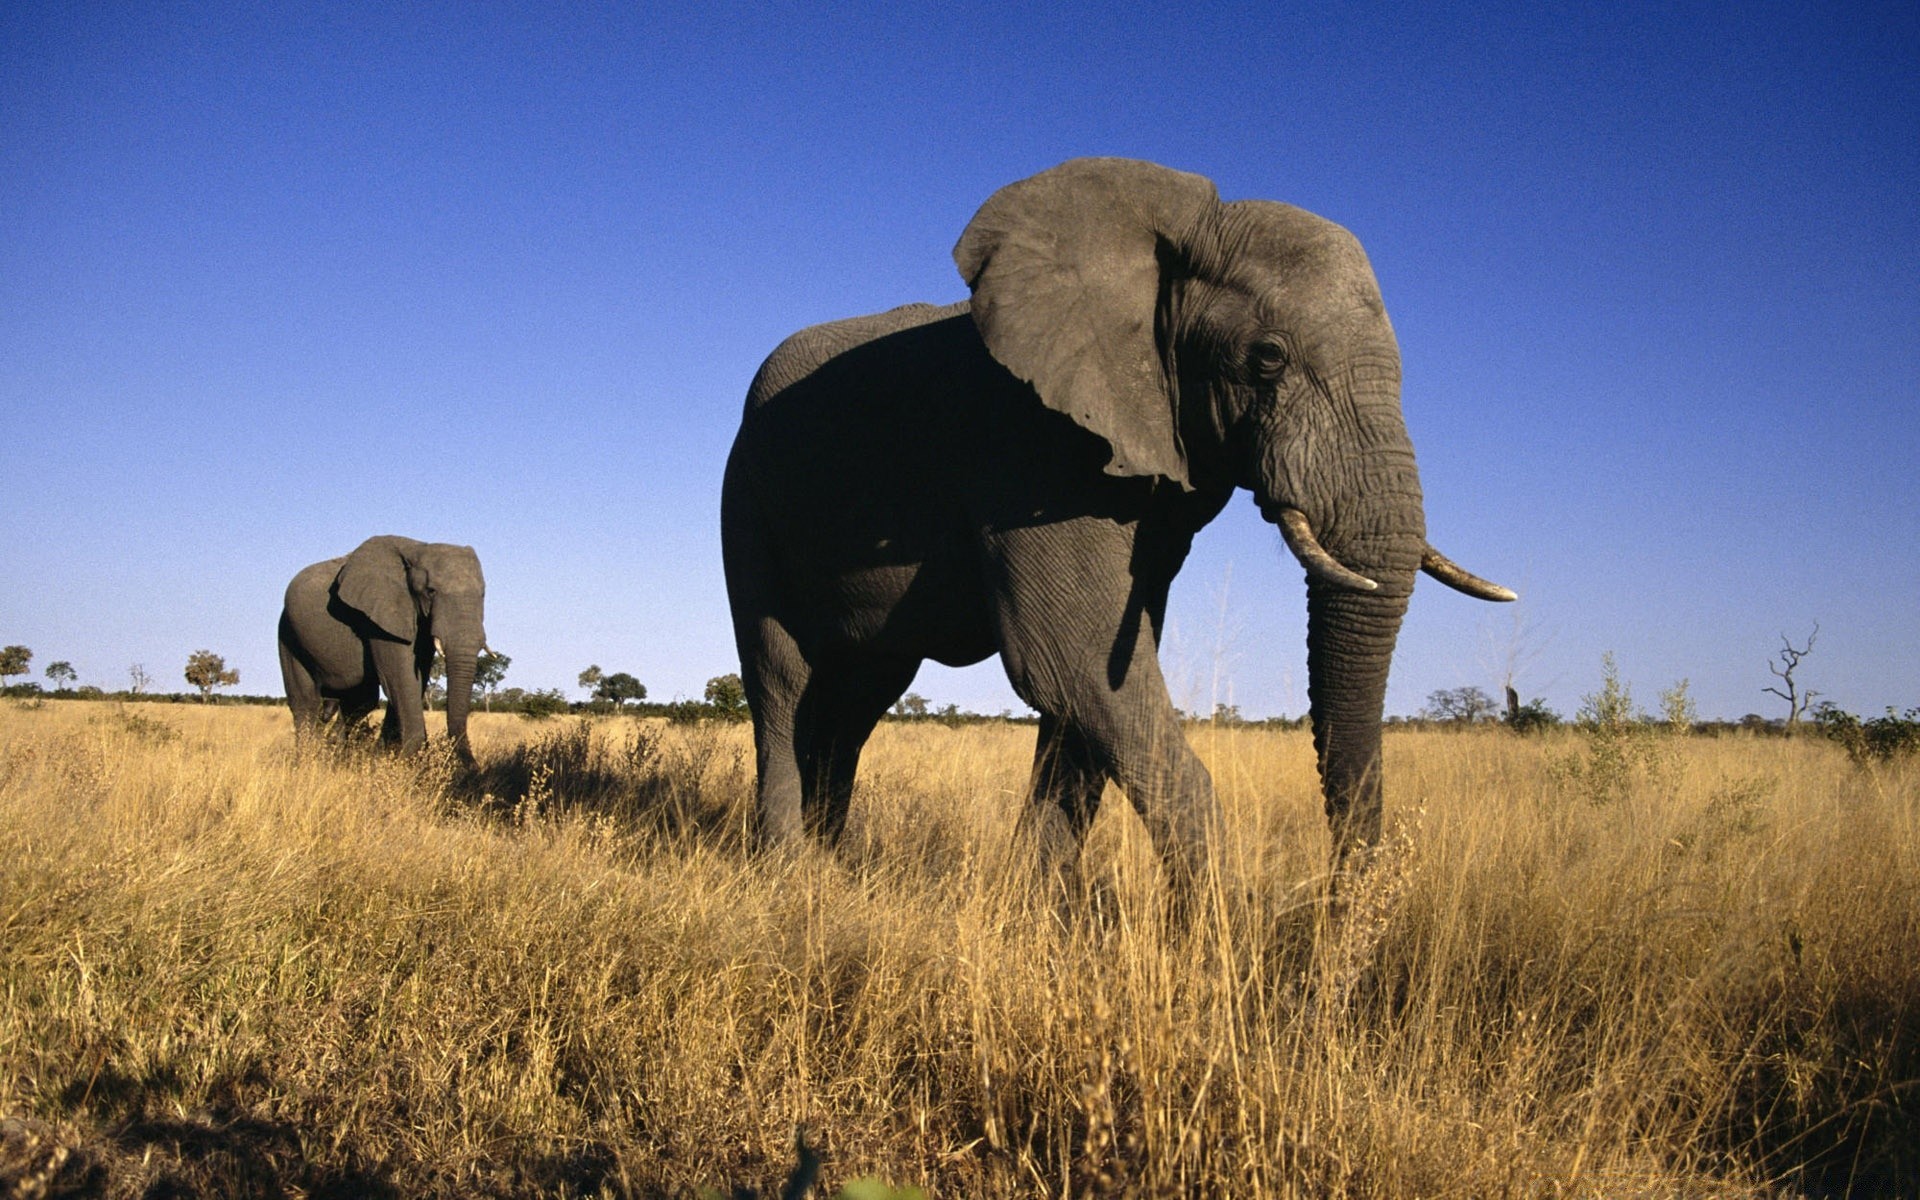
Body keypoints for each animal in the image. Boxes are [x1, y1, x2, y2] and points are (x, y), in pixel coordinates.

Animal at [278, 537, 487, 756]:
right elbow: (401, 679)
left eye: (483, 594)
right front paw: (408, 757)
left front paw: (385, 755)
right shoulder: (381, 618)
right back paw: (310, 756)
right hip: (288, 634)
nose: (474, 765)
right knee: (305, 701)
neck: (418, 548)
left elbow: (416, 677)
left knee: (361, 701)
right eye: (430, 591)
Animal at [721, 159, 1512, 883]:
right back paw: (791, 874)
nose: (1340, 904)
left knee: (862, 691)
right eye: (1267, 358)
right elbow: (1070, 661)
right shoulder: (1032, 445)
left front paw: (1038, 908)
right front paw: (1225, 927)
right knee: (783, 678)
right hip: (746, 500)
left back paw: (833, 864)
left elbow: (1095, 680)